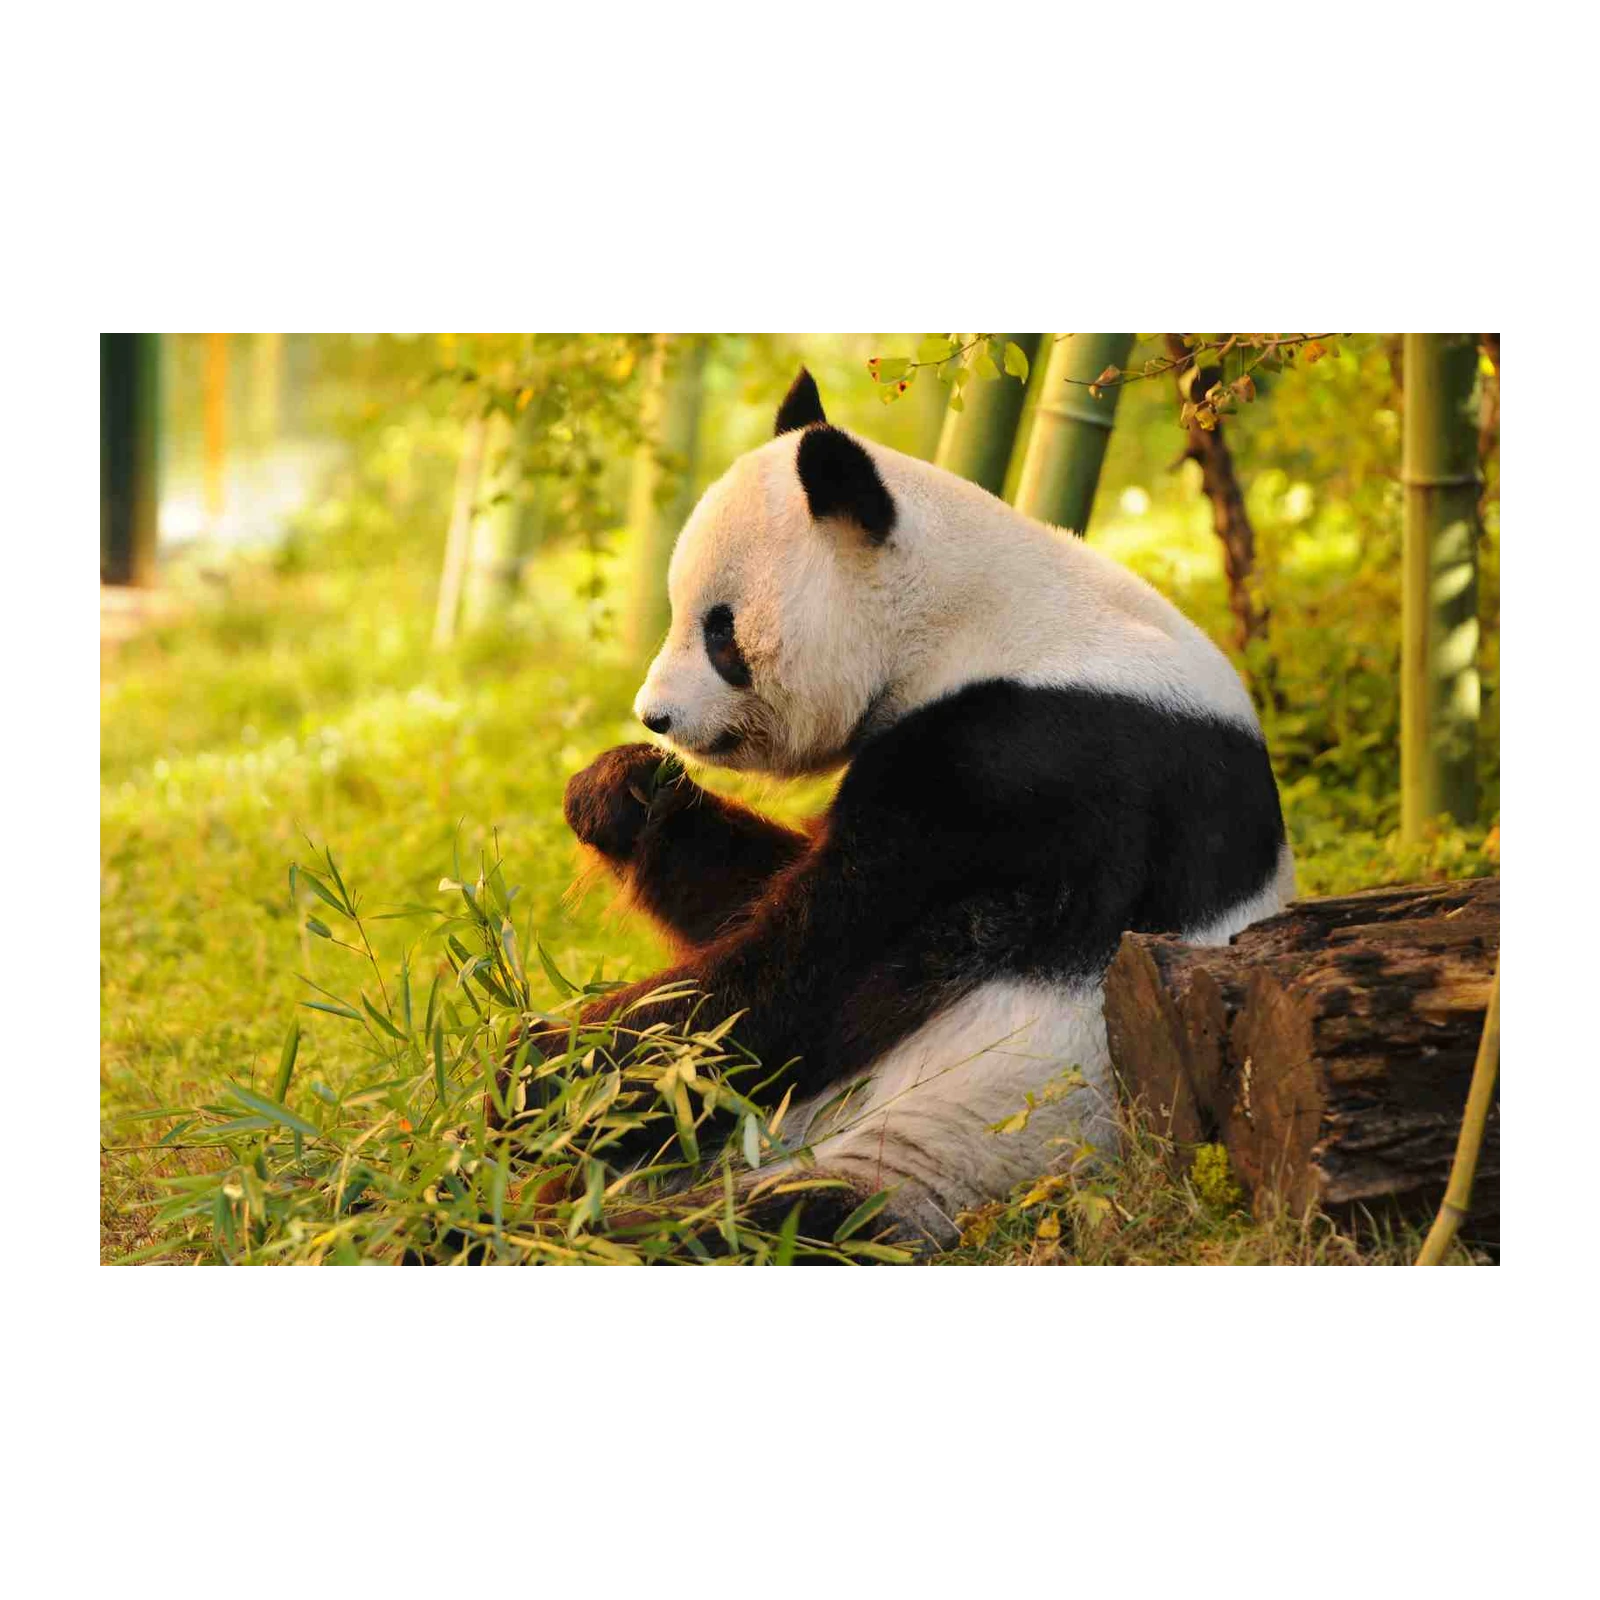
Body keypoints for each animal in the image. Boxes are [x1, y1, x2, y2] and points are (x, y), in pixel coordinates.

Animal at [532, 366, 1294, 1252]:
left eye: (721, 634)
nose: (655, 716)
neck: (972, 613)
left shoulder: (1031, 760)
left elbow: (823, 967)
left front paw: (537, 1067)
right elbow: (758, 900)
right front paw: (619, 793)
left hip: (970, 1141)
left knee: (757, 1225)